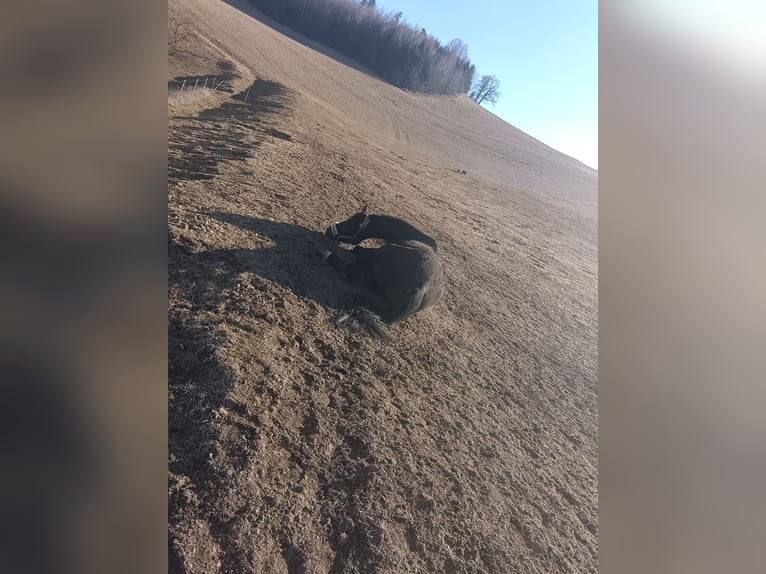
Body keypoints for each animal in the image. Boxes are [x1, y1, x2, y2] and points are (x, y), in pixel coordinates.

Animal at [321, 205, 444, 337]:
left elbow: (357, 249)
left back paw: (329, 255)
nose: (328, 231)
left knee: (347, 271)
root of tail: (422, 288)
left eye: (351, 224)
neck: (420, 241)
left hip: (376, 256)